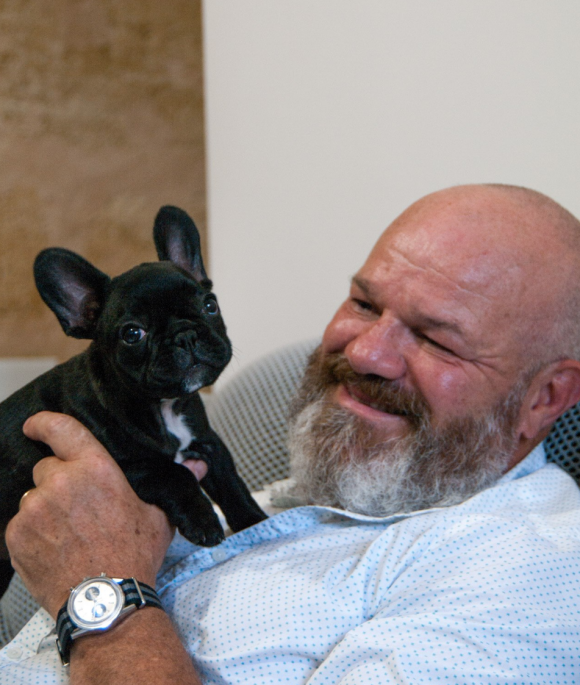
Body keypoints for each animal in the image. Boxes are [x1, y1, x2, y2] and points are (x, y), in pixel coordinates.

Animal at [0, 206, 266, 592]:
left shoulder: (207, 441)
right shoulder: (126, 465)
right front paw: (204, 521)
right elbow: (174, 473)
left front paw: (255, 521)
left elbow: (232, 482)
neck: (163, 406)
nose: (185, 336)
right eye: (132, 334)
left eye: (210, 304)